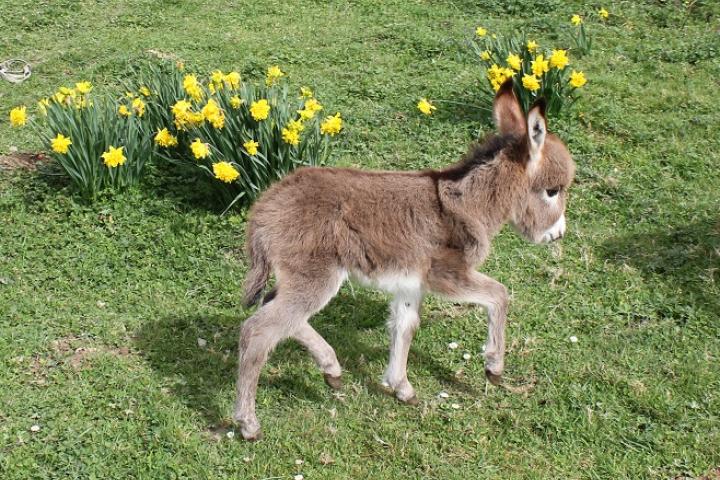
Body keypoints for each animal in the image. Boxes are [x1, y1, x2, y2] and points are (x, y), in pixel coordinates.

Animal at [233, 80, 576, 440]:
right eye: (552, 191)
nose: (558, 235)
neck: (471, 204)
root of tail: (263, 208)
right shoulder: (447, 275)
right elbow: (500, 294)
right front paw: (494, 366)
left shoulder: (411, 285)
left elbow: (405, 327)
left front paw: (400, 387)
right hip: (316, 276)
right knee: (258, 331)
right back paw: (248, 423)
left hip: (301, 276)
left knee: (275, 308)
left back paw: (331, 368)